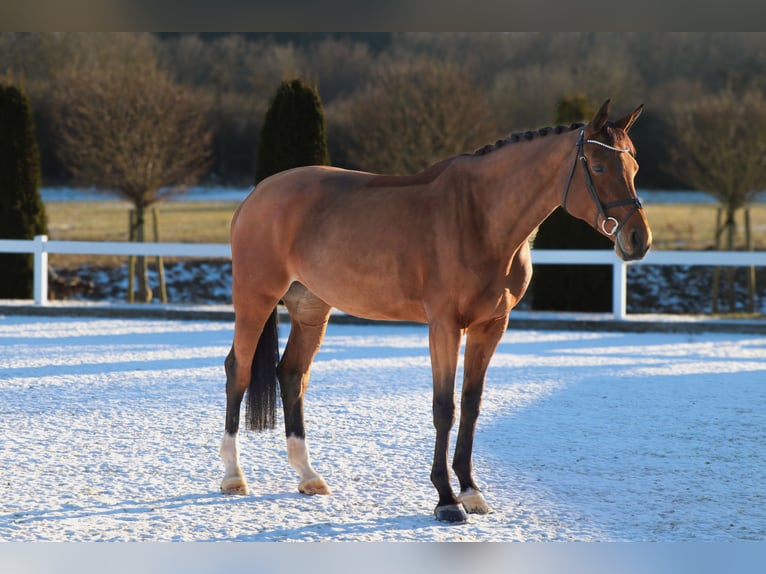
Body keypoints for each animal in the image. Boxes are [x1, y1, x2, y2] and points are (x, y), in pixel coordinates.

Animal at [220, 100, 656, 528]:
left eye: (634, 168)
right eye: (598, 167)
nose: (638, 239)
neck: (480, 217)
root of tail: (257, 195)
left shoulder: (490, 326)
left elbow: (472, 404)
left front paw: (471, 491)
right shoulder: (444, 325)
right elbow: (444, 408)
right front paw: (447, 499)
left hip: (311, 309)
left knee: (292, 374)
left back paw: (308, 476)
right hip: (255, 299)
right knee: (238, 371)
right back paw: (233, 477)